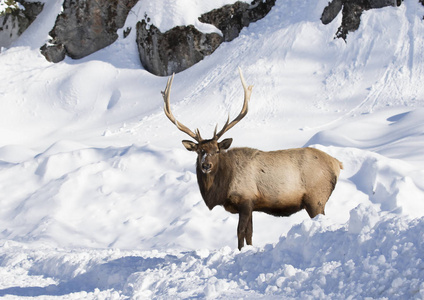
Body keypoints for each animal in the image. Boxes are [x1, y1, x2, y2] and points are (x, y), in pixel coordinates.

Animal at [161, 69, 342, 250]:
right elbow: (250, 233)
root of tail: (337, 164)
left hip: (316, 198)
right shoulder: (253, 205)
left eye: (217, 150)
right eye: (199, 151)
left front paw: (241, 250)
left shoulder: (246, 199)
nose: (206, 165)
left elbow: (240, 232)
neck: (222, 188)